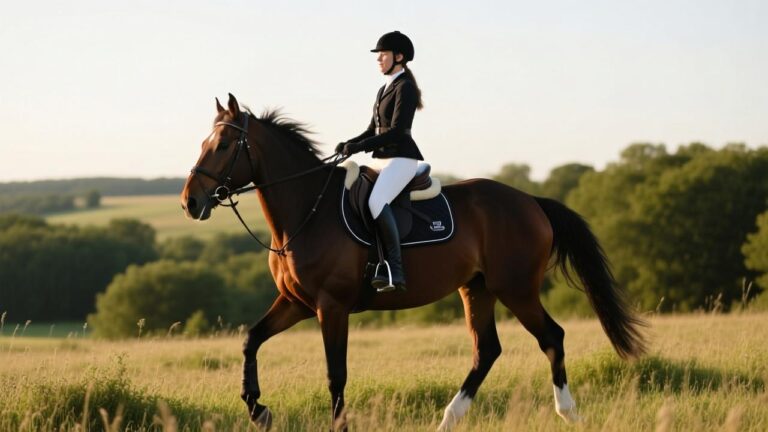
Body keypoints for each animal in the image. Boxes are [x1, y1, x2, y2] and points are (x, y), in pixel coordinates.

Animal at [180, 94, 646, 431]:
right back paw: (448, 419)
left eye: (224, 145)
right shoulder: (296, 303)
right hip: (476, 288)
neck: (307, 211)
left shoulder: (331, 306)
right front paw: (258, 410)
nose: (190, 202)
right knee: (486, 350)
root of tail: (531, 201)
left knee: (551, 337)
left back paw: (567, 412)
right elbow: (251, 340)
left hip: (515, 288)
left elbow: (335, 373)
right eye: (203, 144)